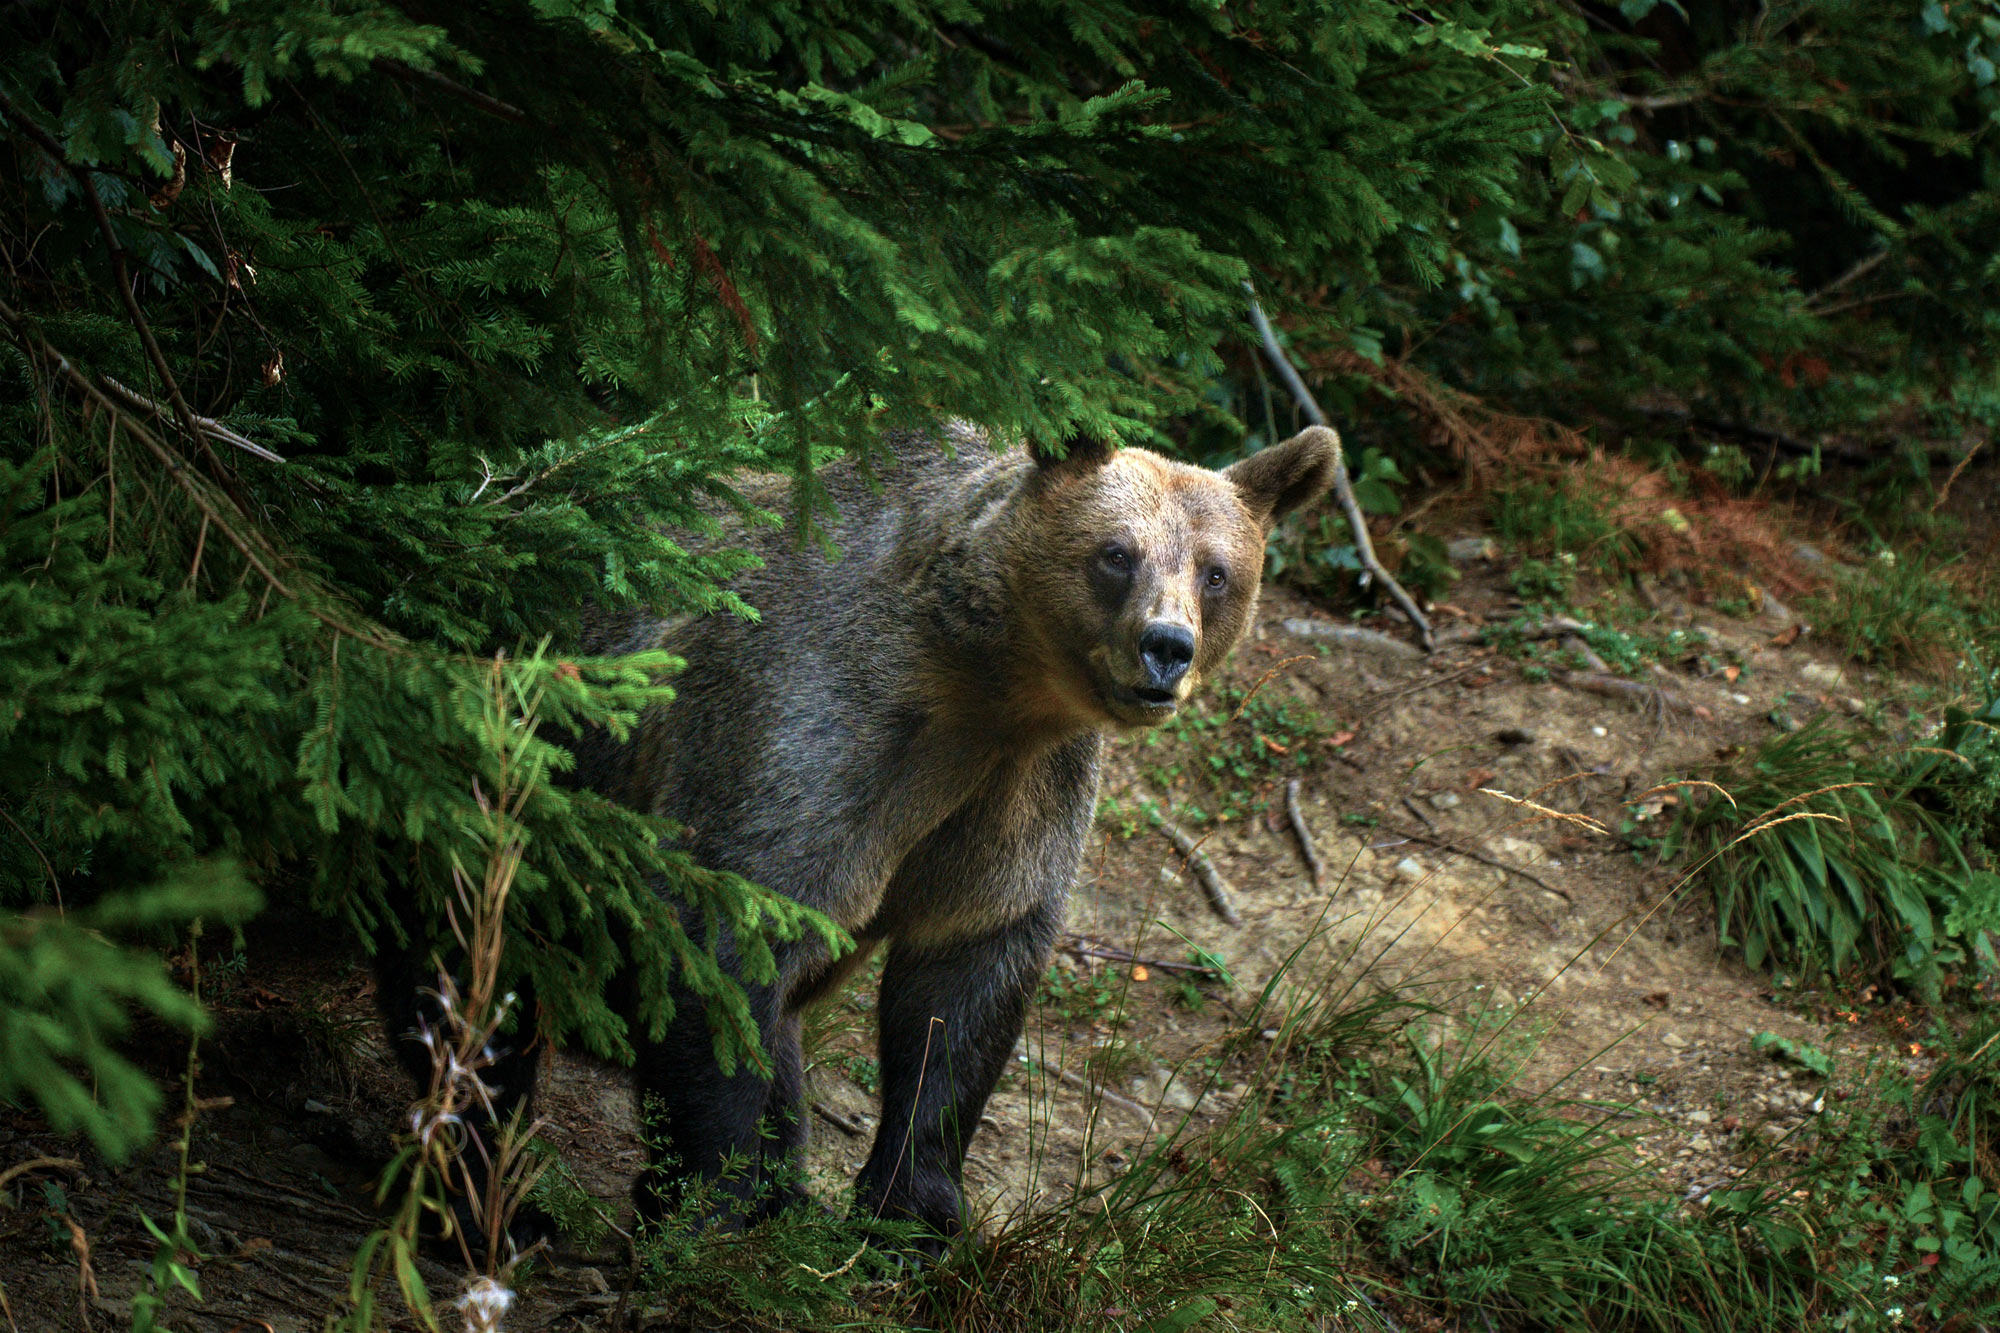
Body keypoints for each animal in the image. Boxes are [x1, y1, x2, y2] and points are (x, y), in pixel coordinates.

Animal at [376, 420, 1344, 1240]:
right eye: (1115, 553)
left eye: (1216, 570)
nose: (1166, 646)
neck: (987, 692)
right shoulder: (811, 736)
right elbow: (729, 943)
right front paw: (707, 1200)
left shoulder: (1016, 799)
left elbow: (961, 989)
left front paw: (911, 1215)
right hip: (505, 783)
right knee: (474, 985)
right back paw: (494, 1206)